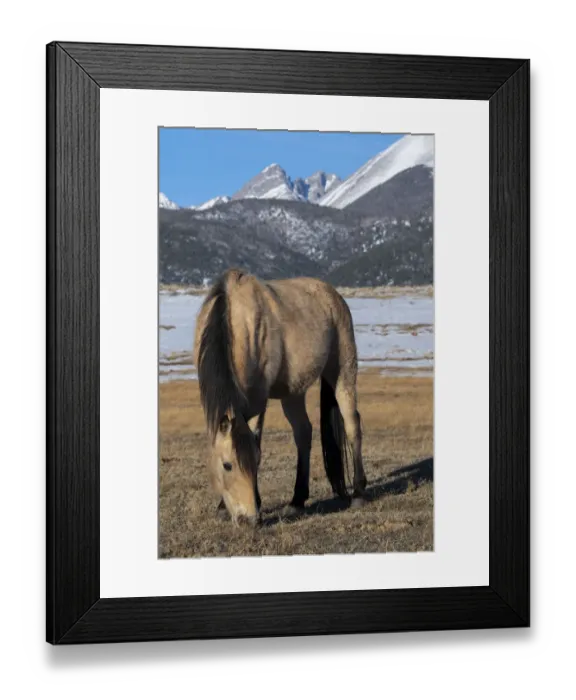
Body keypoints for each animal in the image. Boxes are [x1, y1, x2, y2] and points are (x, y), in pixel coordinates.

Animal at [193, 268, 368, 526]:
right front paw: (224, 507)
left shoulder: (258, 398)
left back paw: (358, 494)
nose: (248, 519)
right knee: (303, 432)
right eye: (227, 465)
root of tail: (334, 296)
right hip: (293, 392)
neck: (235, 320)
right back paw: (297, 500)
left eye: (255, 461)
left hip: (343, 371)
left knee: (352, 424)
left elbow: (256, 439)